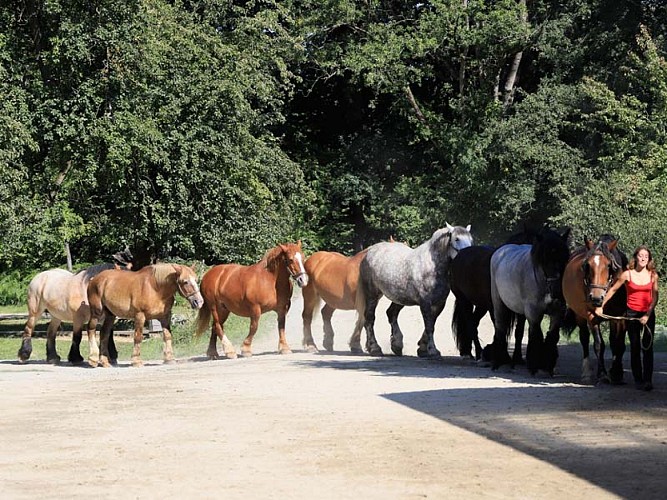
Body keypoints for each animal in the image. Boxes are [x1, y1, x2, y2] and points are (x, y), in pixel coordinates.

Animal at [357, 223, 473, 357]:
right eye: (457, 239)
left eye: (471, 240)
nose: (468, 258)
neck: (433, 267)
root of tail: (369, 251)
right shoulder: (425, 303)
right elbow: (429, 326)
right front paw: (432, 350)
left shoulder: (439, 304)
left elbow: (432, 324)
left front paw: (423, 348)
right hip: (372, 294)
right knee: (370, 318)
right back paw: (374, 348)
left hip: (399, 297)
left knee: (391, 314)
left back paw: (396, 345)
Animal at [489, 226, 571, 374]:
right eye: (544, 260)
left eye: (565, 258)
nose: (558, 291)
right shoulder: (534, 314)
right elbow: (536, 336)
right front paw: (534, 365)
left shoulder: (557, 312)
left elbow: (552, 336)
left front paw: (548, 365)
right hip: (499, 304)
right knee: (500, 328)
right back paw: (497, 362)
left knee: (518, 332)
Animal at [562, 235, 628, 383]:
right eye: (587, 265)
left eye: (609, 265)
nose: (596, 298)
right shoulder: (592, 317)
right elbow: (599, 345)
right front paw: (602, 374)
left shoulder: (619, 317)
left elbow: (618, 344)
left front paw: (617, 373)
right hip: (579, 315)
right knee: (584, 338)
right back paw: (587, 372)